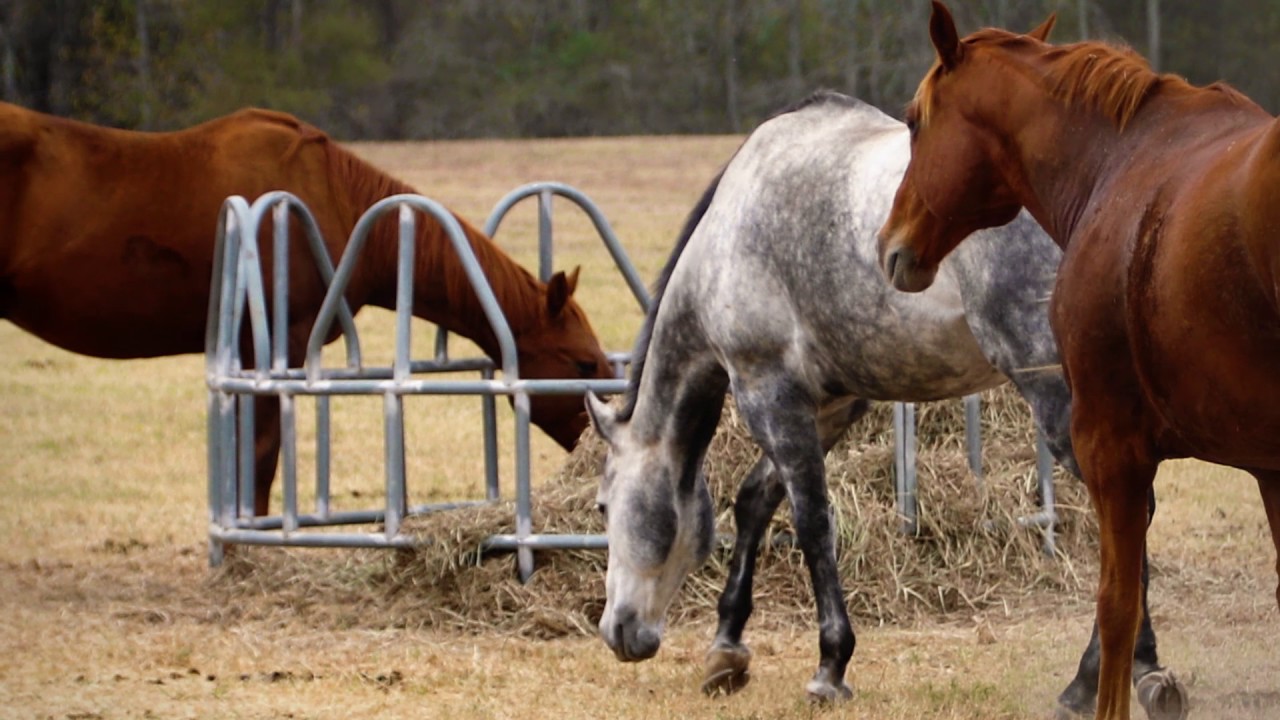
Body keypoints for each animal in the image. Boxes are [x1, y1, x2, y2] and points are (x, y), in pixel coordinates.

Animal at [583, 89, 1182, 716]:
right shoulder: (830, 405)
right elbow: (755, 502)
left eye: (602, 507)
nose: (618, 632)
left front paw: (830, 664)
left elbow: (811, 521)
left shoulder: (768, 392)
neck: (729, 233)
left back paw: (1091, 680)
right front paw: (726, 647)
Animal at [878, 4, 1280, 719]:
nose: (891, 244)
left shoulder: (1107, 442)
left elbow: (1118, 603)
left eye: (915, 121)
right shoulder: (1269, 468)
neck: (1117, 164)